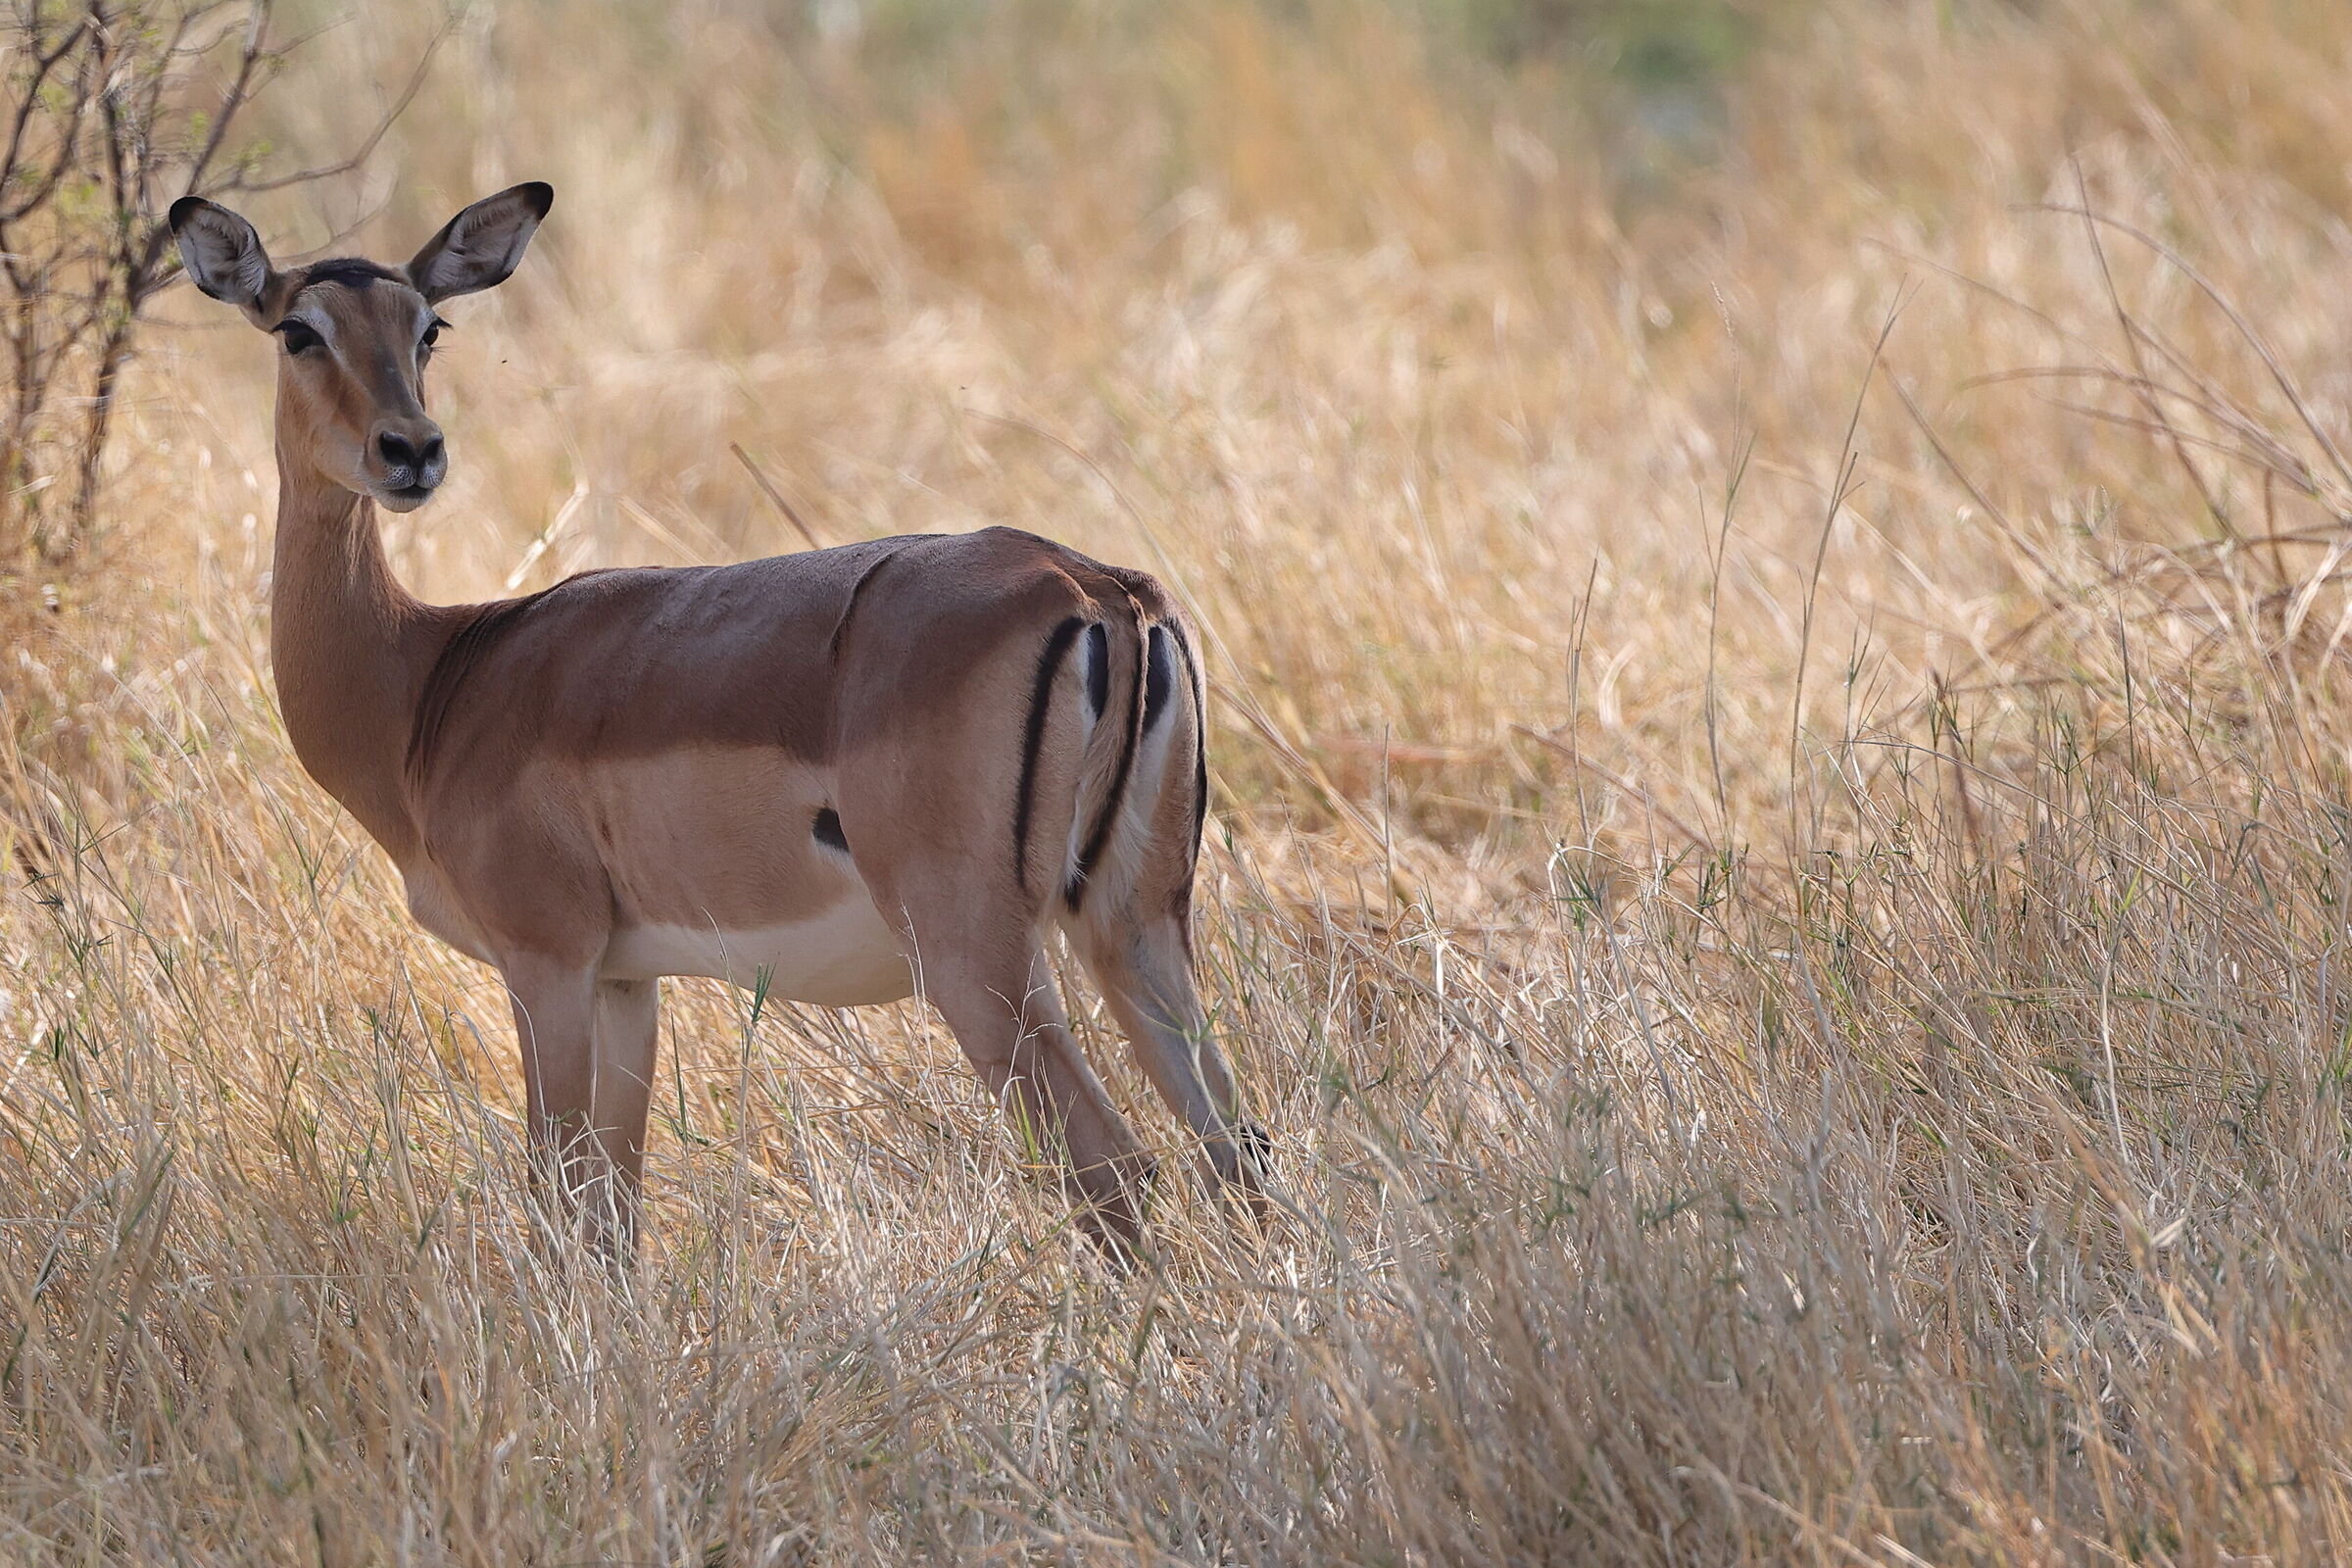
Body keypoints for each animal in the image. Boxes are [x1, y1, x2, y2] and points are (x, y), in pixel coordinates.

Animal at [169, 183, 1268, 1256]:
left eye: (427, 326)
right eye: (299, 329)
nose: (411, 452)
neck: (435, 678)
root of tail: (1099, 590)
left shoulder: (547, 962)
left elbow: (557, 1209)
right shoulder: (626, 981)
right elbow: (614, 1222)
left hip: (977, 956)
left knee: (1116, 1167)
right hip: (1134, 928)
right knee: (1237, 1149)